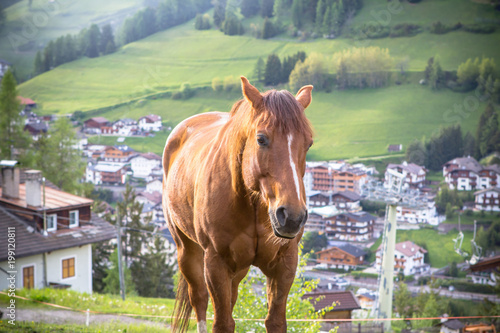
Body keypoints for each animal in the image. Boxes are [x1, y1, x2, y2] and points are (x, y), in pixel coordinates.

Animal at [163, 76, 312, 330]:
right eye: (261, 139)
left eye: (309, 143)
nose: (292, 217)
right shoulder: (216, 263)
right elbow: (222, 323)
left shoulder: (285, 265)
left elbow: (275, 321)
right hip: (187, 251)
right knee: (199, 299)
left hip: (238, 268)